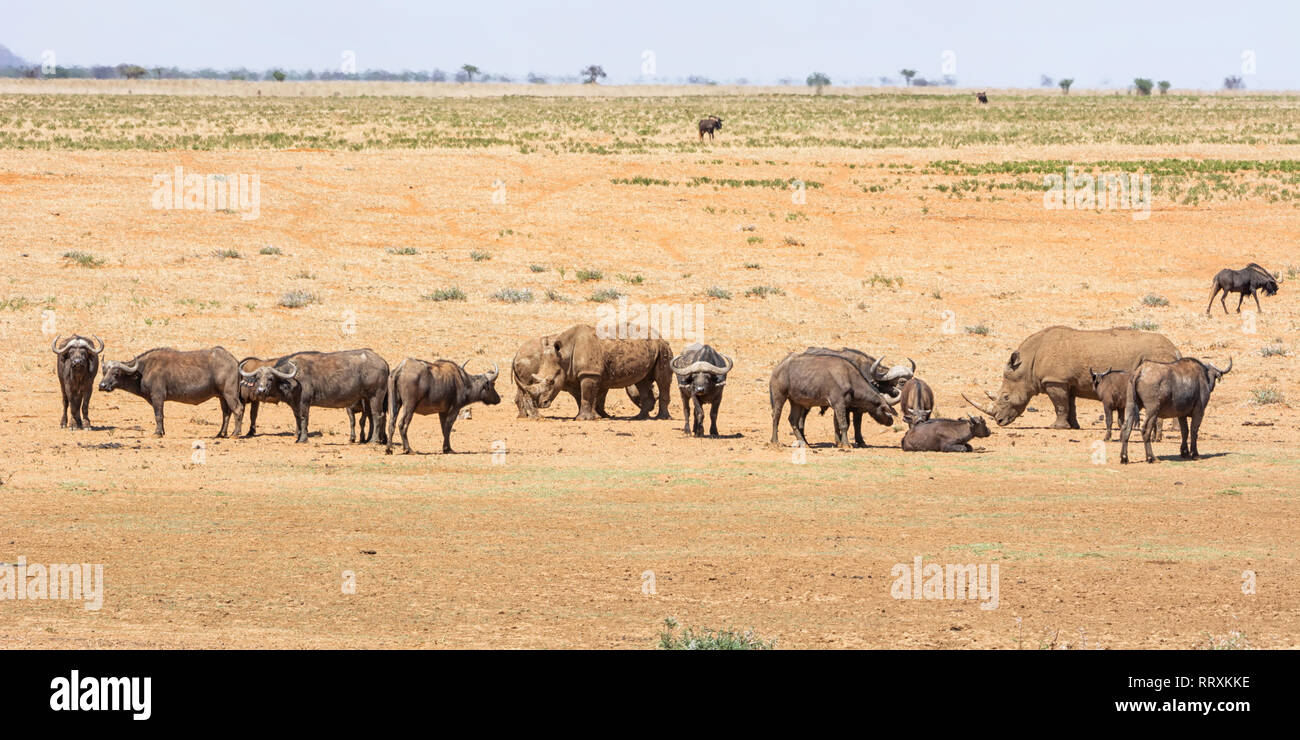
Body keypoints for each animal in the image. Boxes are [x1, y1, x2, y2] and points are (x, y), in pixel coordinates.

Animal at [97, 348, 244, 439]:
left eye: (116, 373)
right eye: (104, 372)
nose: (102, 386)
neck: (143, 370)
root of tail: (235, 362)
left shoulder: (157, 397)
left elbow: (158, 415)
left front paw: (157, 433)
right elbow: (160, 416)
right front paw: (162, 431)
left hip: (229, 393)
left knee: (238, 409)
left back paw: (235, 433)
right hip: (221, 396)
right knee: (226, 413)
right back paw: (221, 434)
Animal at [252, 348, 384, 442]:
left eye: (270, 378)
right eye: (257, 378)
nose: (261, 390)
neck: (293, 379)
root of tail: (383, 363)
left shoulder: (304, 402)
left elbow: (304, 418)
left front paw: (303, 439)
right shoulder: (295, 404)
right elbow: (297, 419)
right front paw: (298, 437)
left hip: (376, 396)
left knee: (377, 416)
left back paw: (374, 440)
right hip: (366, 399)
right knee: (371, 417)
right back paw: (368, 439)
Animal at [525, 321, 676, 418]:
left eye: (551, 382)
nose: (541, 404)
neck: (564, 354)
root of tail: (660, 336)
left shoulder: (590, 373)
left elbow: (587, 396)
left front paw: (583, 419)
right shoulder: (577, 374)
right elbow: (585, 397)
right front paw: (594, 417)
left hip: (663, 348)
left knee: (662, 381)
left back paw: (662, 418)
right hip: (648, 349)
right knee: (642, 381)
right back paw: (639, 417)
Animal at [764, 351, 899, 447]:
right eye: (885, 409)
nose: (891, 421)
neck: (849, 378)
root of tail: (777, 368)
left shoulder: (840, 406)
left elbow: (838, 424)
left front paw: (839, 442)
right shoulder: (839, 403)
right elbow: (844, 424)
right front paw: (846, 444)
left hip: (796, 402)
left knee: (793, 420)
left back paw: (805, 443)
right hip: (779, 396)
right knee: (776, 416)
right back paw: (775, 442)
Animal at [961, 326, 1185, 429]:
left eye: (1006, 397)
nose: (998, 421)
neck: (1026, 365)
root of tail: (1175, 349)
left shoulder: (1055, 380)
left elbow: (1059, 405)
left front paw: (1056, 427)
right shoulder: (1065, 381)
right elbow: (1070, 404)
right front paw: (1073, 426)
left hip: (1157, 357)